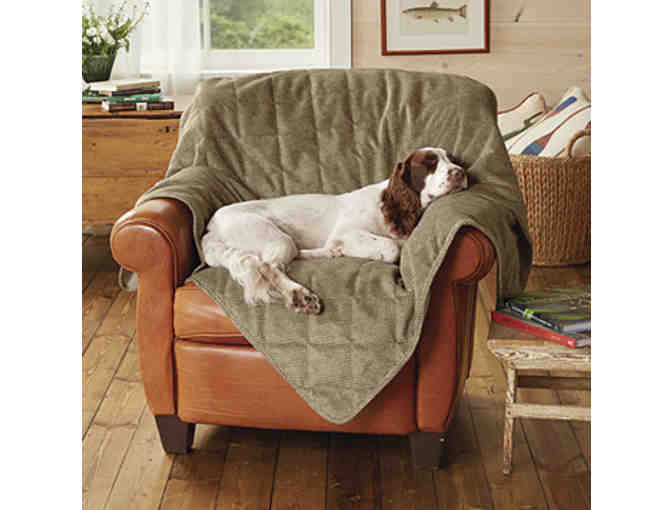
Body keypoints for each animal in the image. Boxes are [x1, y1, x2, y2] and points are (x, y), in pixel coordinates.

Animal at [201, 147, 468, 314]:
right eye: (429, 163)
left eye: (451, 159)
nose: (461, 172)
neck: (391, 206)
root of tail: (212, 225)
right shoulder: (346, 233)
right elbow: (392, 248)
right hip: (277, 238)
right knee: (269, 266)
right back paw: (300, 296)